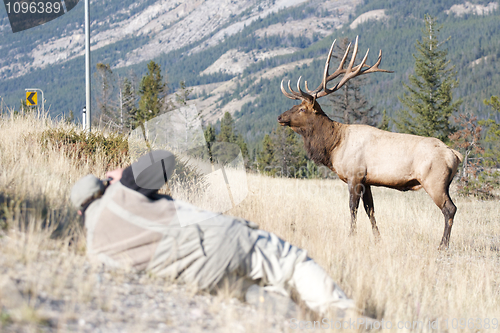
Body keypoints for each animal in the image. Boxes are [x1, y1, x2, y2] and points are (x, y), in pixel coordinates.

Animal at [278, 37, 460, 249]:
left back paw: (443, 246)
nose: (280, 117)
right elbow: (370, 210)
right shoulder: (367, 181)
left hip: (435, 182)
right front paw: (378, 239)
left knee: (450, 209)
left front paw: (351, 236)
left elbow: (353, 209)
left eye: (301, 109)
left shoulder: (354, 176)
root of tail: (455, 155)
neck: (334, 145)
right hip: (443, 184)